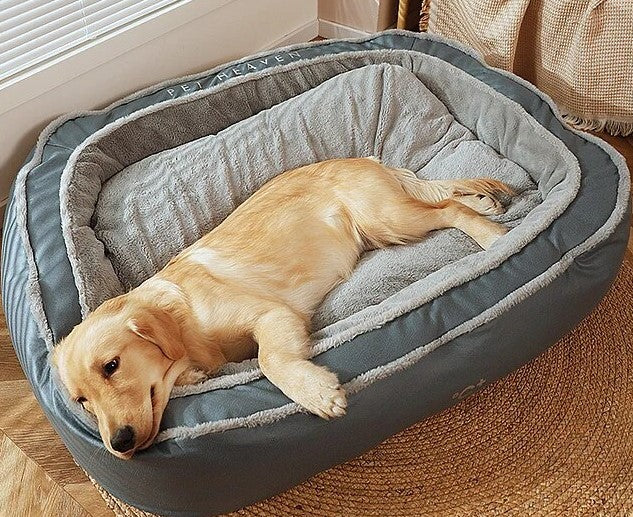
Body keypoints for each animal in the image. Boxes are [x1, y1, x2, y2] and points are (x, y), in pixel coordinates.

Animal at [51, 156, 512, 456]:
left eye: (111, 366)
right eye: (81, 400)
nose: (119, 444)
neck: (182, 318)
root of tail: (365, 158)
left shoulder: (270, 314)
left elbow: (270, 360)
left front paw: (316, 393)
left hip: (388, 219)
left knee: (448, 207)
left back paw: (491, 235)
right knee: (446, 198)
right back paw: (486, 206)